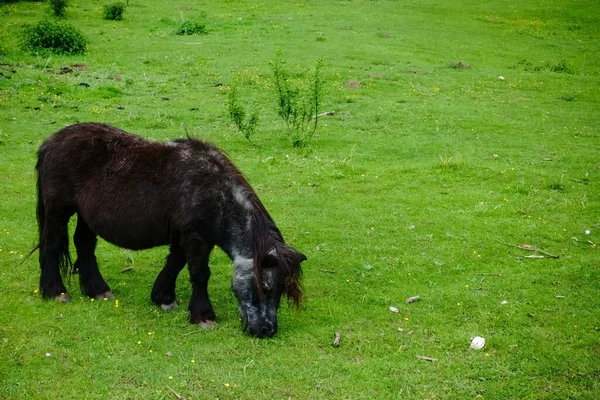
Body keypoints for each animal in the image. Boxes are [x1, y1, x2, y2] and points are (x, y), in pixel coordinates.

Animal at [34, 122, 304, 338]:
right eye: (265, 288)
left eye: (281, 291)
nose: (268, 330)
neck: (215, 193)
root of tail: (50, 141)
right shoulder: (195, 237)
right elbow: (199, 273)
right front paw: (204, 316)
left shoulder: (187, 238)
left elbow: (174, 265)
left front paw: (163, 298)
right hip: (58, 211)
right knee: (53, 244)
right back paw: (55, 292)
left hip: (86, 216)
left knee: (84, 244)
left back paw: (98, 290)